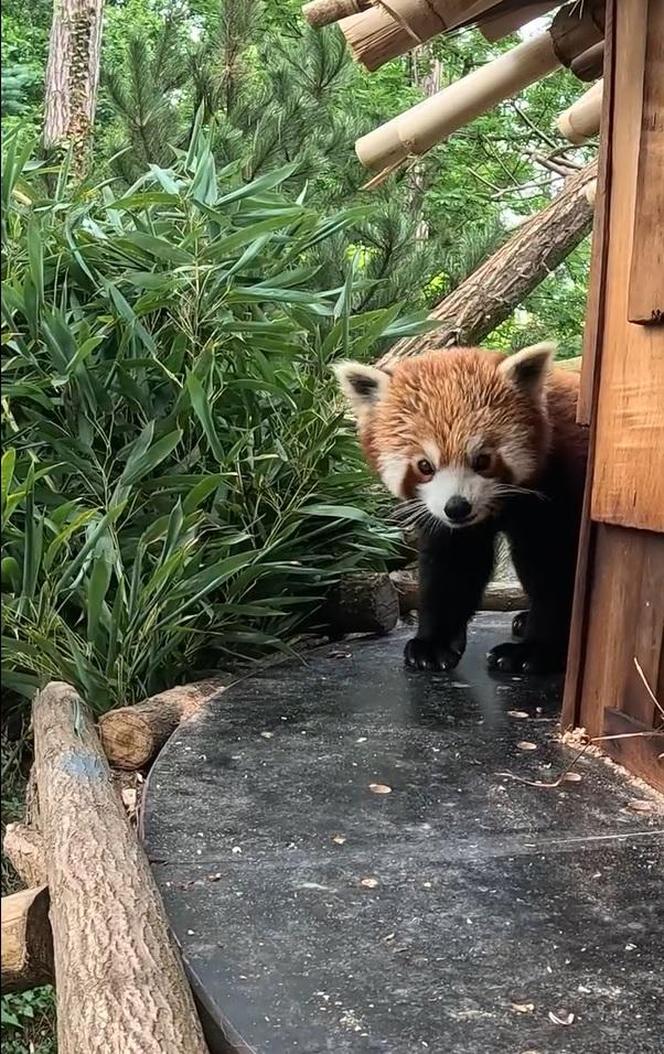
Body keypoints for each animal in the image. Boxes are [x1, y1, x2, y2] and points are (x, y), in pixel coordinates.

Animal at [335, 345, 590, 674]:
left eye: (482, 460)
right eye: (425, 466)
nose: (457, 507)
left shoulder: (560, 488)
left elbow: (556, 570)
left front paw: (536, 650)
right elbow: (453, 565)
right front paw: (433, 644)